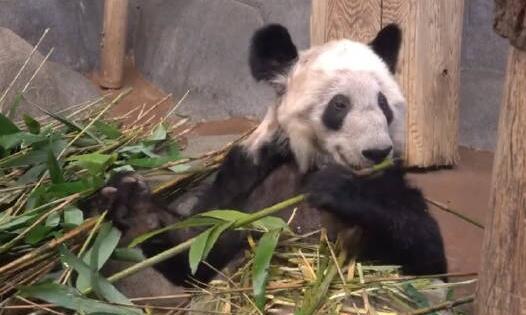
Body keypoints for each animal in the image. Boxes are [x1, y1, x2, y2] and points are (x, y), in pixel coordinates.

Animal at [89, 22, 450, 288]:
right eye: (340, 104)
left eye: (383, 103)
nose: (376, 151)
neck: (313, 160)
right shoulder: (249, 176)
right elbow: (200, 250)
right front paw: (134, 206)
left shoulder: (390, 180)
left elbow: (428, 255)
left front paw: (339, 187)